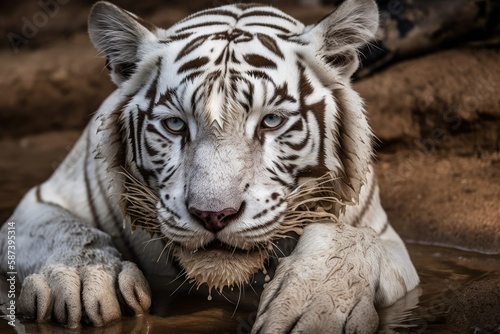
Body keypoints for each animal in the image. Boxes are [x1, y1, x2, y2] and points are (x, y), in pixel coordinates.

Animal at [0, 0, 418, 332]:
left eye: (271, 121)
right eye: (175, 125)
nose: (213, 215)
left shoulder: (388, 241)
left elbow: (352, 241)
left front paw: (317, 307)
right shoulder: (42, 201)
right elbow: (68, 230)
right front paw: (83, 276)